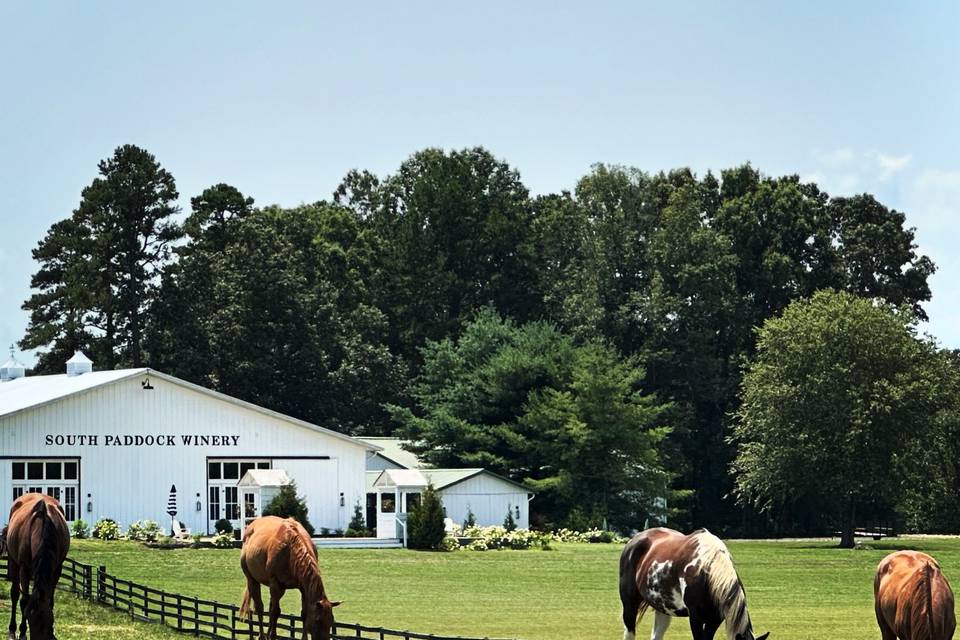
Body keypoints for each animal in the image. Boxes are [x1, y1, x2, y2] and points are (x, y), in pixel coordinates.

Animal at [3, 496, 68, 640]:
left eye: (49, 620)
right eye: (28, 618)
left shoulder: (57, 569)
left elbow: (50, 601)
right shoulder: (24, 568)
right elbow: (24, 601)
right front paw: (22, 632)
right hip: (13, 562)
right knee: (15, 594)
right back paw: (12, 630)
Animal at [620, 524, 768, 640]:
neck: (706, 571)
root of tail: (635, 539)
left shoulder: (715, 619)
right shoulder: (695, 617)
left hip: (663, 608)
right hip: (629, 606)